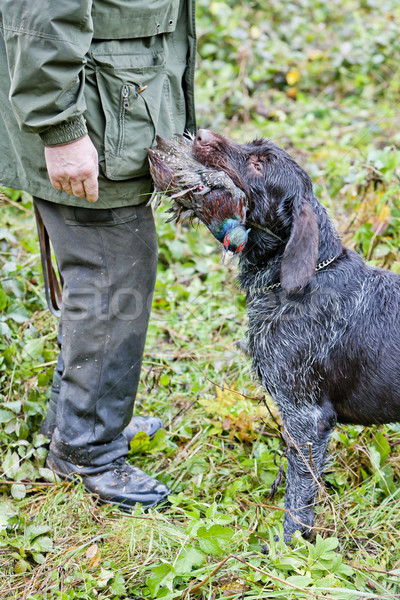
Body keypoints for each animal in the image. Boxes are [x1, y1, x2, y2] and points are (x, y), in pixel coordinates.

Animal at [193, 129, 400, 540]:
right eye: (253, 145)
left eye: (259, 165)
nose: (202, 133)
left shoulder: (307, 418)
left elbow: (300, 495)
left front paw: (288, 545)